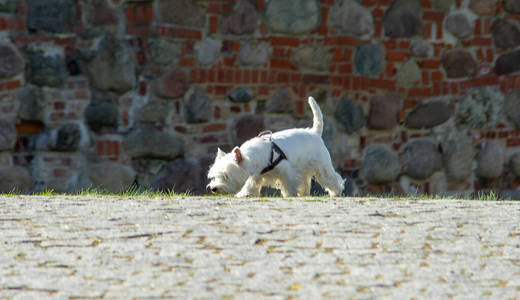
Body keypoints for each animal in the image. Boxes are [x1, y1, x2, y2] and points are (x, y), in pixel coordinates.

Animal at [207, 97, 346, 198]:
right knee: (306, 181)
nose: (213, 188)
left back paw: (336, 192)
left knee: (331, 178)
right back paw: (304, 193)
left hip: (322, 167)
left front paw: (290, 194)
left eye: (226, 176)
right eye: (213, 177)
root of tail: (314, 132)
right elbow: (251, 183)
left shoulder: (286, 170)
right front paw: (245, 194)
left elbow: (288, 183)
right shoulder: (256, 174)